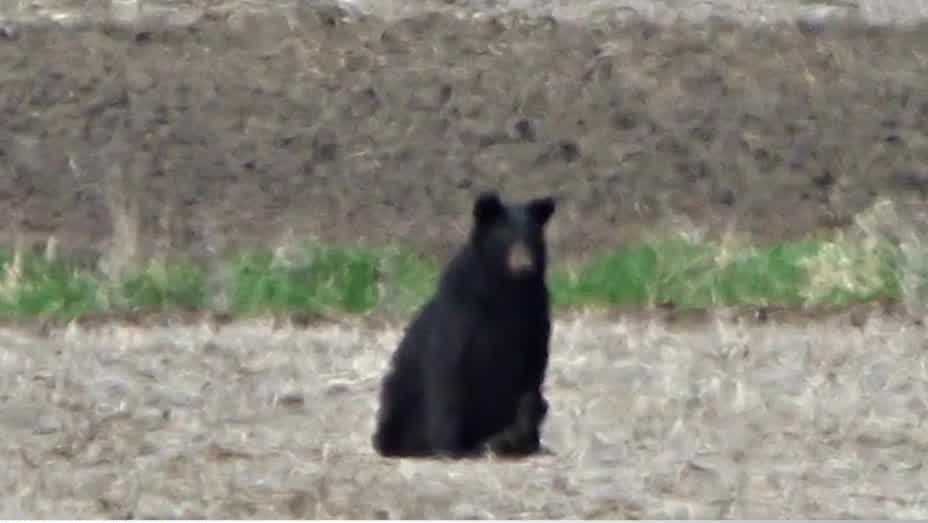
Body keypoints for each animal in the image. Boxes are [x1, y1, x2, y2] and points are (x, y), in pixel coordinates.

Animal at [372, 190, 557, 459]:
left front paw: (521, 437)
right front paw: (451, 448)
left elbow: (533, 369)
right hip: (400, 397)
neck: (507, 289)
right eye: (505, 238)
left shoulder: (536, 311)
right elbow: (448, 368)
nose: (524, 266)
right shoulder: (462, 308)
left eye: (532, 239)